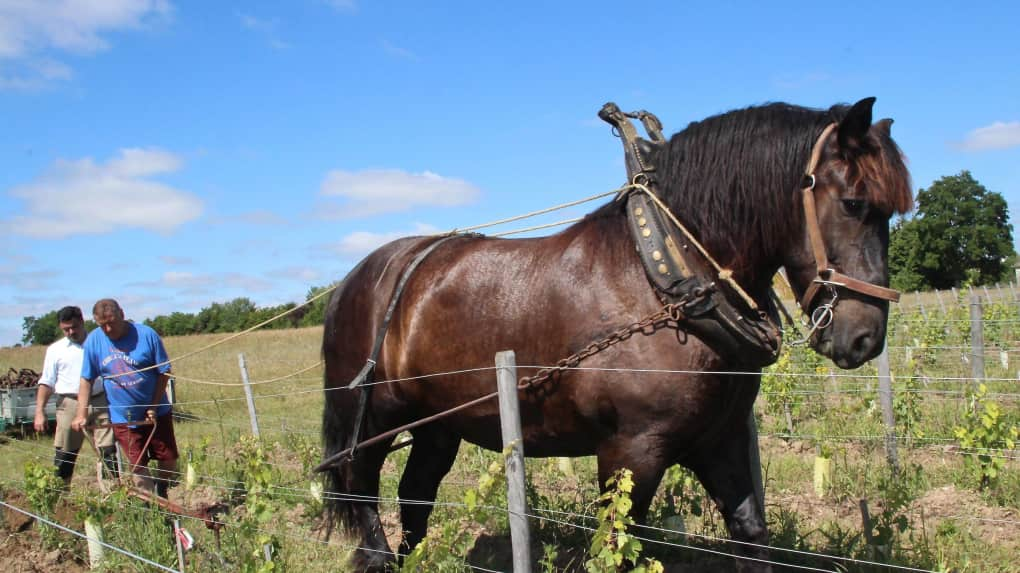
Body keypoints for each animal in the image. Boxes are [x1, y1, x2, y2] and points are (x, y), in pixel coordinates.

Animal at [322, 97, 913, 566]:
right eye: (855, 204)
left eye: (892, 212)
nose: (865, 338)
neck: (665, 281)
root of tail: (360, 275)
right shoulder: (633, 451)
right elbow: (616, 546)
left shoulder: (718, 439)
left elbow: (751, 533)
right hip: (372, 418)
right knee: (361, 493)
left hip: (439, 425)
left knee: (416, 496)